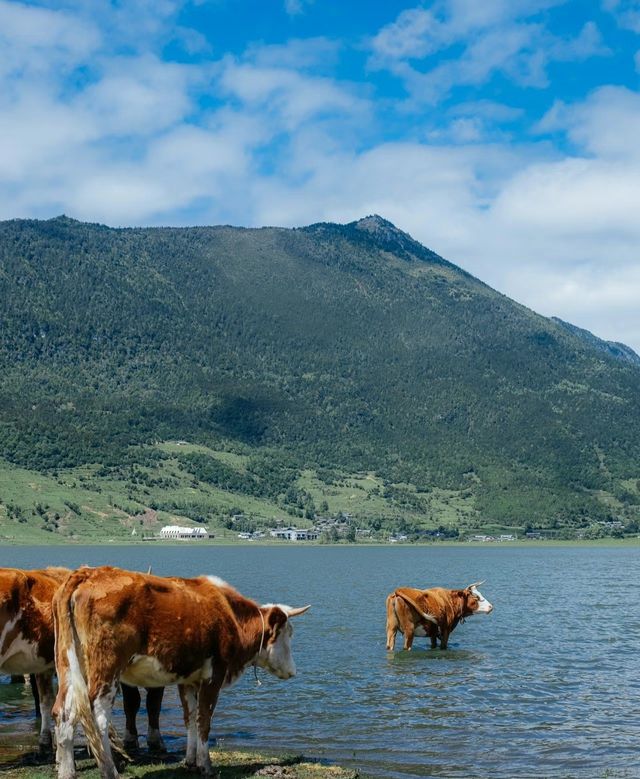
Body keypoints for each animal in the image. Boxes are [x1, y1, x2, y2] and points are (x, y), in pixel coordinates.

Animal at [52, 568, 308, 779]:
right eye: (289, 633)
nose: (294, 670)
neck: (230, 616)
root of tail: (87, 573)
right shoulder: (213, 676)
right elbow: (204, 720)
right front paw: (206, 766)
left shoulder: (188, 680)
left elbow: (190, 719)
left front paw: (190, 762)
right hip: (106, 669)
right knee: (97, 718)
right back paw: (109, 771)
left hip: (70, 666)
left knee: (64, 712)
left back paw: (67, 772)